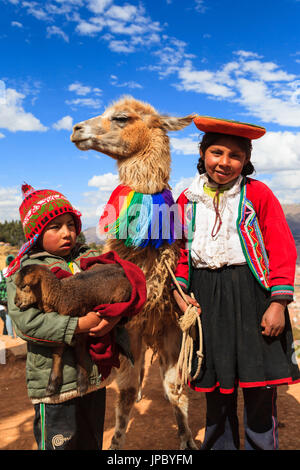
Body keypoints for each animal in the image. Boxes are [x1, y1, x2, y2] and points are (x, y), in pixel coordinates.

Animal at [14, 264, 131, 396]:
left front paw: (81, 385)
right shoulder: (60, 331)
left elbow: (79, 354)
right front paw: (52, 386)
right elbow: (56, 355)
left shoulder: (81, 326)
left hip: (121, 296)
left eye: (24, 286)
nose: (15, 302)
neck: (60, 295)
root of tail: (119, 269)